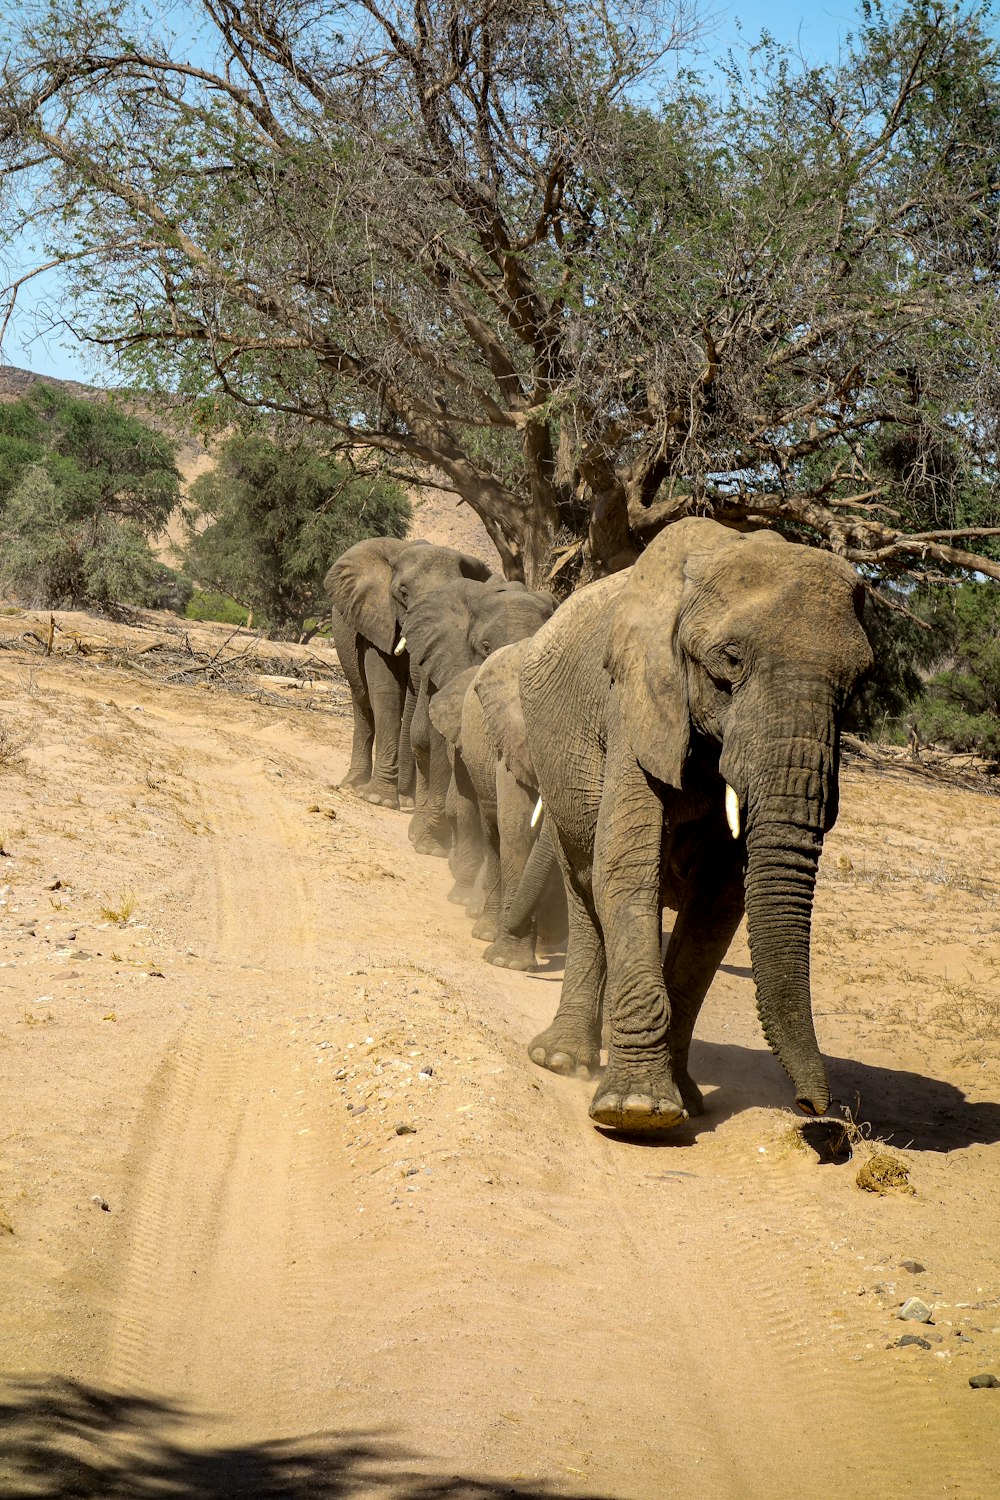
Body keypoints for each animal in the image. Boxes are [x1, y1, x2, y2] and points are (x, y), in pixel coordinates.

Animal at [521, 516, 869, 1134]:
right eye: (729, 661)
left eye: (858, 685)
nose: (818, 1112)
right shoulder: (634, 703)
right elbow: (625, 870)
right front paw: (638, 1111)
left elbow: (717, 905)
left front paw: (682, 1099)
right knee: (583, 887)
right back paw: (563, 1061)